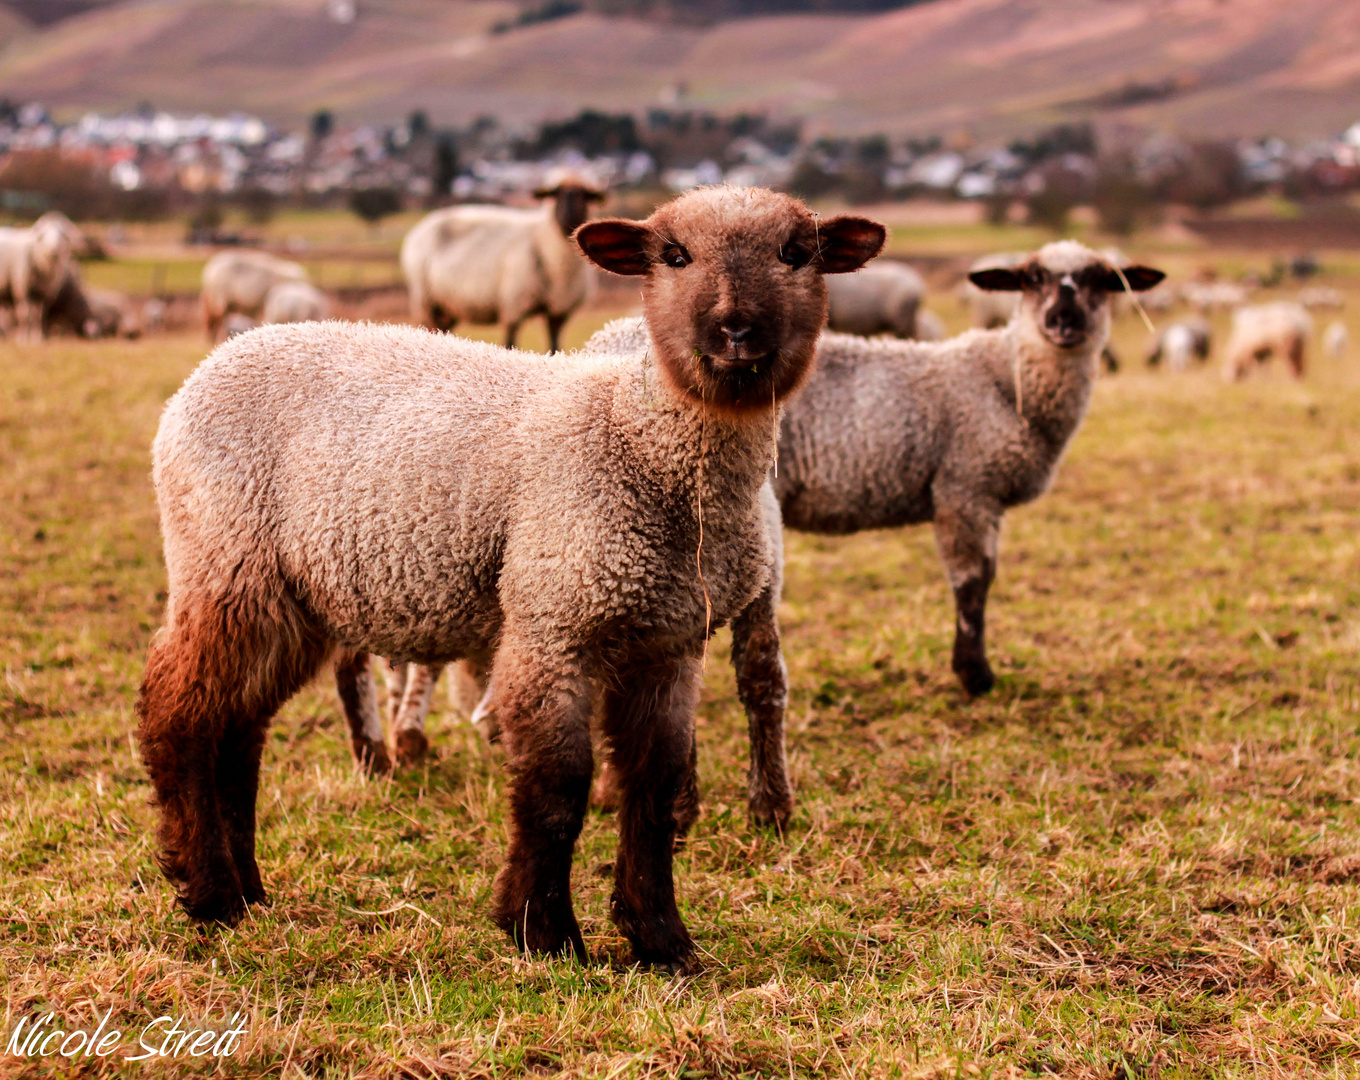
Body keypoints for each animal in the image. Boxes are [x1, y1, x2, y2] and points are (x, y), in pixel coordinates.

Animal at [397, 173, 601, 348]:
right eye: (555, 194)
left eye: (585, 195)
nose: (569, 217)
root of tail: (424, 224)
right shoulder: (514, 307)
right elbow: (510, 344)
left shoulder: (559, 312)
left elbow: (554, 347)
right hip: (425, 302)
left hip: (447, 307)